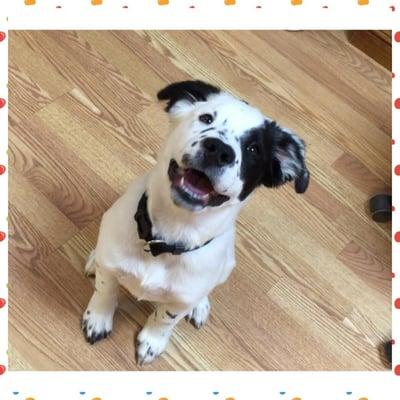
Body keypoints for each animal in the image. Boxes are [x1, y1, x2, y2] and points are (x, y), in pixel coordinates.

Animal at [82, 79, 310, 364]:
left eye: (253, 149)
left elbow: (165, 319)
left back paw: (200, 306)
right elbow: (105, 290)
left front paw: (153, 341)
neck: (168, 236)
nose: (219, 150)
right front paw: (98, 318)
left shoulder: (180, 300)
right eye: (206, 118)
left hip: (226, 266)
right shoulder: (111, 266)